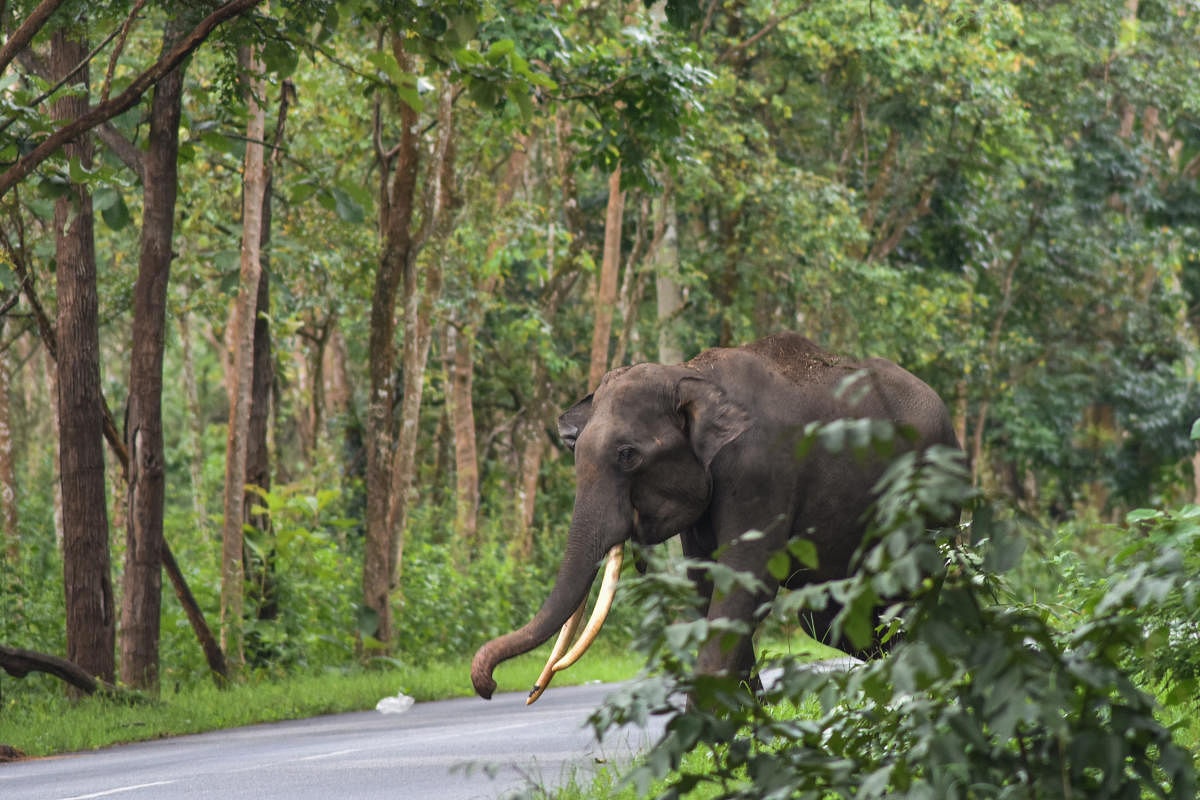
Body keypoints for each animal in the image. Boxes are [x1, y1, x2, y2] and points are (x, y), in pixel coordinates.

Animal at [465, 331, 955, 700]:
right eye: (575, 450)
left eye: (627, 455)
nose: (491, 686)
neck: (692, 374)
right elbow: (705, 587)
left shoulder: (761, 471)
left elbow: (742, 584)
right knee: (830, 616)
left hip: (933, 492)